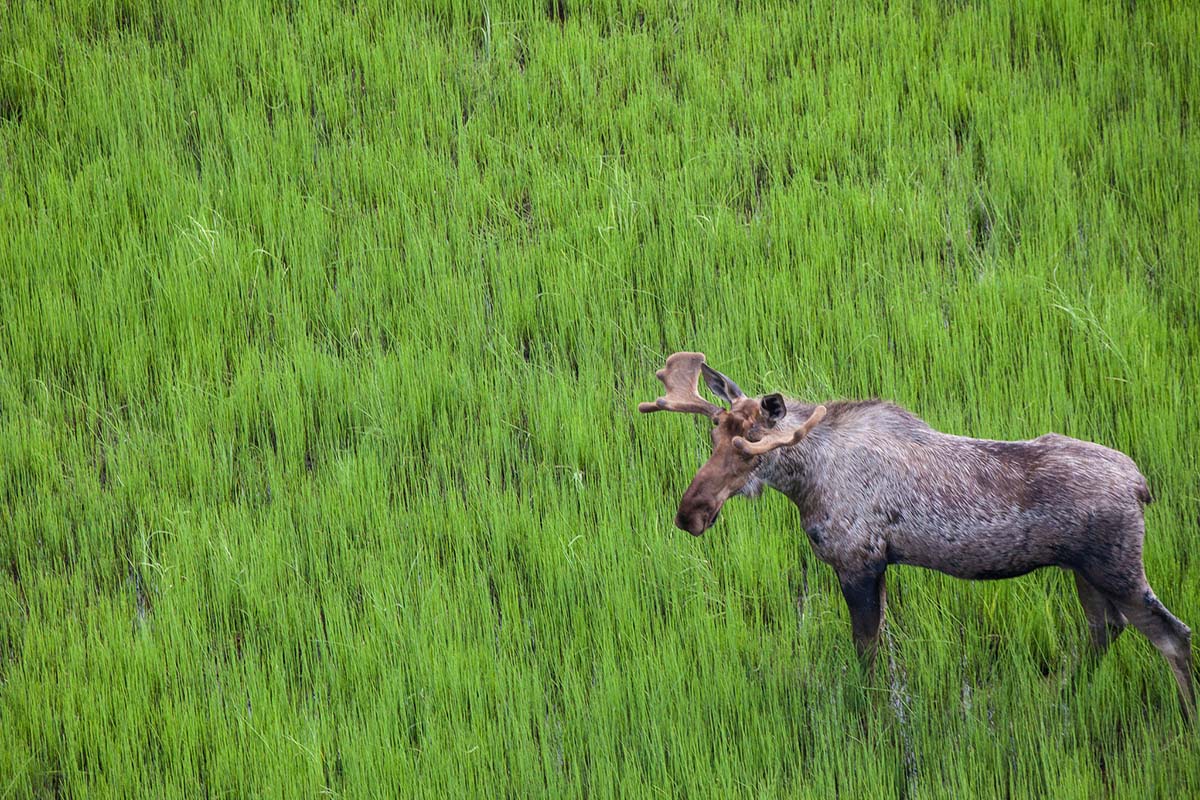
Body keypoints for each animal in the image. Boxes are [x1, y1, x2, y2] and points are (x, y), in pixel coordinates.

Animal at [638, 351, 1194, 716]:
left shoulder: (859, 561)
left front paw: (874, 719)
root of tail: (1141, 486)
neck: (805, 482)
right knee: (1106, 629)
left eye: (751, 448)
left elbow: (867, 657)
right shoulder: (877, 565)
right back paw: (1063, 697)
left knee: (1173, 634)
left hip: (1116, 566)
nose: (690, 513)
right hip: (1084, 570)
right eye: (714, 436)